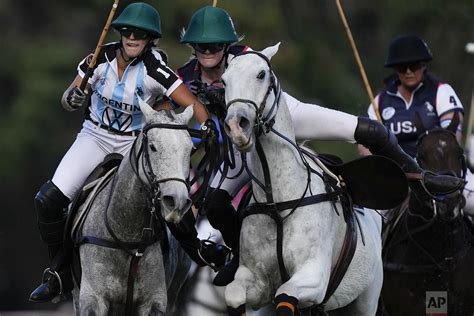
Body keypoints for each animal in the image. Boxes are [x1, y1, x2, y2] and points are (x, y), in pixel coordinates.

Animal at [71, 98, 193, 314]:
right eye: (152, 146)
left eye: (191, 149)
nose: (177, 201)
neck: (127, 236)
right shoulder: (92, 298)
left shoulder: (154, 302)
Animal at [221, 43, 382, 314]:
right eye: (224, 80)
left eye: (261, 74)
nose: (236, 126)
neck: (278, 201)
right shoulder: (255, 280)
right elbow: (234, 295)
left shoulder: (313, 277)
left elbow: (285, 294)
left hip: (366, 299)